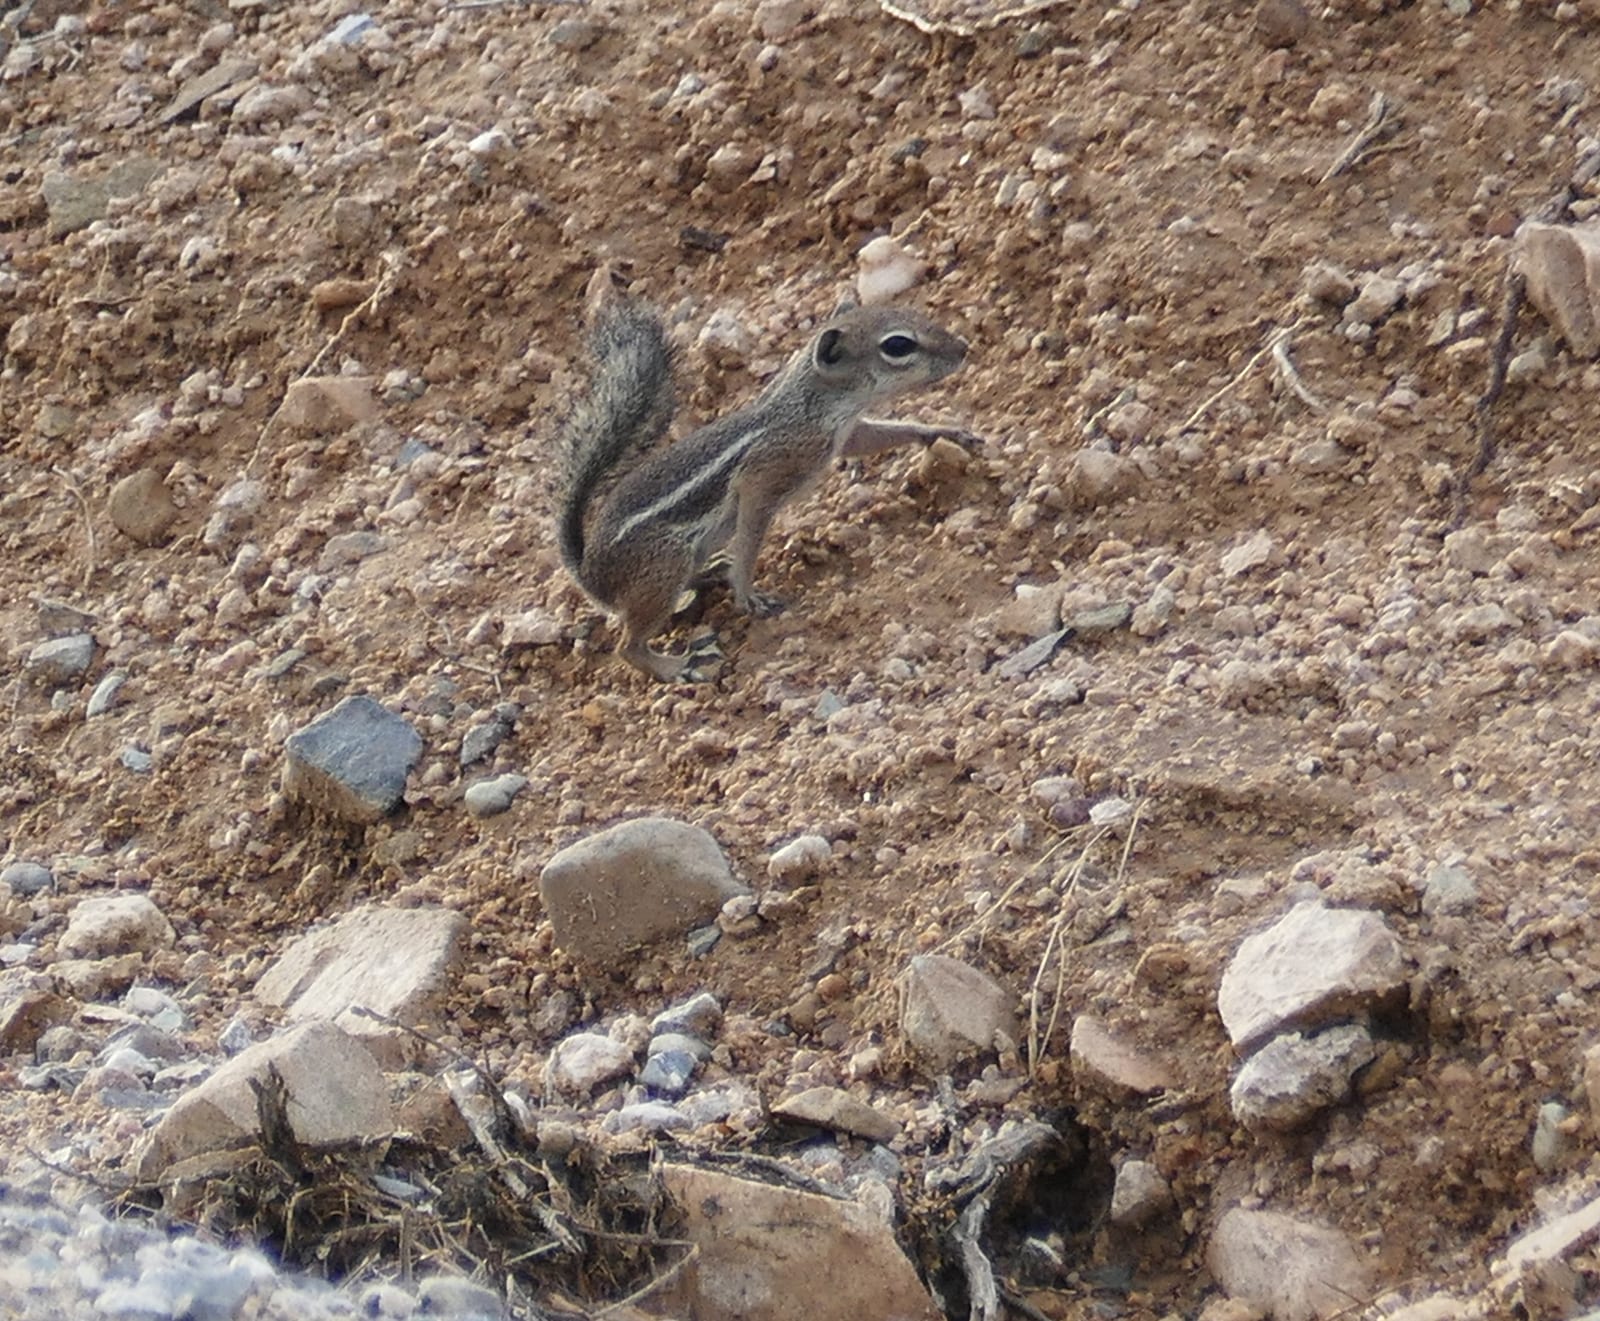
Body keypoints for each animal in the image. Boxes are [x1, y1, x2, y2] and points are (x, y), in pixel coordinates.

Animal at [556, 271, 973, 682]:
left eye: (912, 312)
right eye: (898, 345)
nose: (964, 349)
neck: (809, 405)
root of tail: (589, 576)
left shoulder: (845, 437)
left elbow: (885, 434)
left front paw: (943, 432)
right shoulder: (762, 478)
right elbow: (750, 538)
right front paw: (748, 595)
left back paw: (711, 573)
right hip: (663, 566)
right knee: (628, 647)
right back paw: (677, 665)